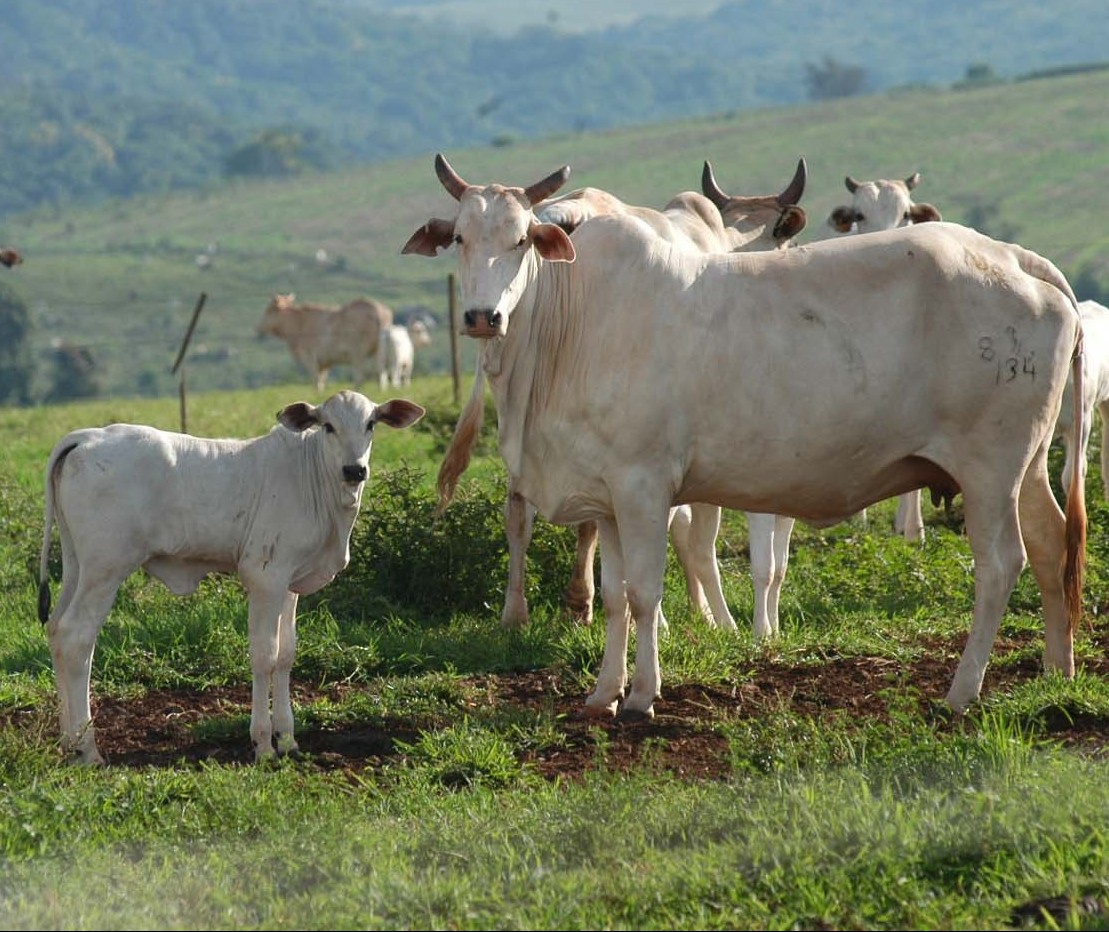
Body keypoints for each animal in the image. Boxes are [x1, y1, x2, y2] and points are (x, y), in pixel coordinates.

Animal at [36, 390, 425, 758]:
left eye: (371, 424)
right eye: (328, 426)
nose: (354, 470)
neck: (315, 479)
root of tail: (87, 437)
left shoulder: (289, 584)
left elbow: (286, 655)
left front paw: (288, 740)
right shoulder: (264, 578)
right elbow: (265, 656)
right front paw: (264, 743)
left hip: (77, 566)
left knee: (56, 630)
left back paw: (68, 743)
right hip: (105, 569)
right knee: (76, 637)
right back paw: (87, 748)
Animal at [257, 292, 397, 390]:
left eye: (269, 311)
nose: (258, 328)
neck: (298, 323)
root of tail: (378, 309)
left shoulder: (309, 356)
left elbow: (316, 380)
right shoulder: (324, 361)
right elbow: (322, 380)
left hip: (358, 351)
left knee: (360, 376)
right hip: (378, 351)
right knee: (380, 373)